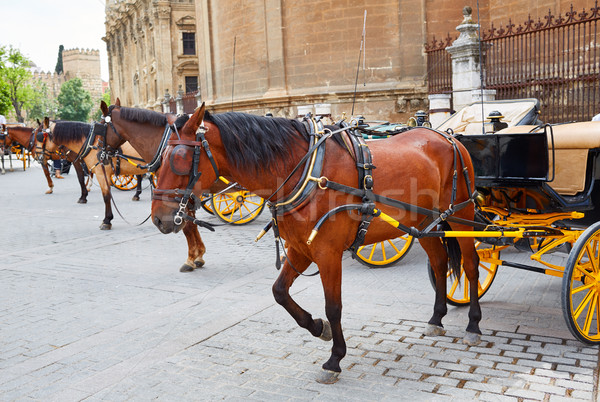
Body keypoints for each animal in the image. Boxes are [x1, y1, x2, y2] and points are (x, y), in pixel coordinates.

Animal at [98, 99, 209, 272]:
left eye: (101, 125)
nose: (98, 154)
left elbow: (187, 223)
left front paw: (192, 258)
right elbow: (189, 221)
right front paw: (198, 255)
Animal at [151, 103, 482, 384]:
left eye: (179, 160)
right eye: (159, 160)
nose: (158, 218)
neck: (305, 171)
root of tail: (447, 136)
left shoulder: (328, 253)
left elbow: (333, 306)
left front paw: (335, 359)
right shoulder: (300, 249)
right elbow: (279, 292)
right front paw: (317, 328)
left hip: (462, 216)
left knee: (471, 266)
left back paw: (473, 325)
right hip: (423, 225)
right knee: (439, 262)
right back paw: (437, 317)